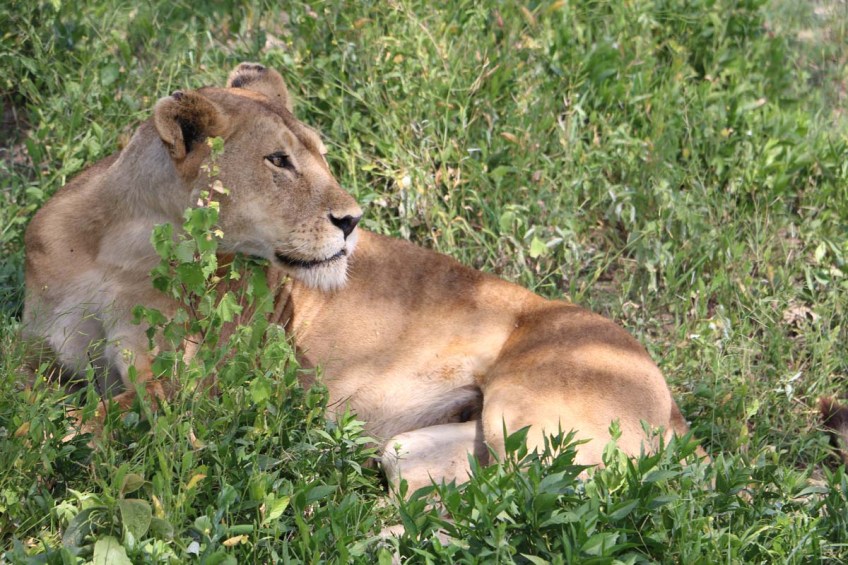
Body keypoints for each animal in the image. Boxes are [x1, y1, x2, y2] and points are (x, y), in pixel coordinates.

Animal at [24, 63, 700, 492]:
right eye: (278, 161)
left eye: (320, 155)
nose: (352, 220)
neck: (120, 250)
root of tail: (670, 401)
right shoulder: (40, 347)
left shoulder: (188, 394)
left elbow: (73, 424)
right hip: (423, 448)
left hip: (531, 424)